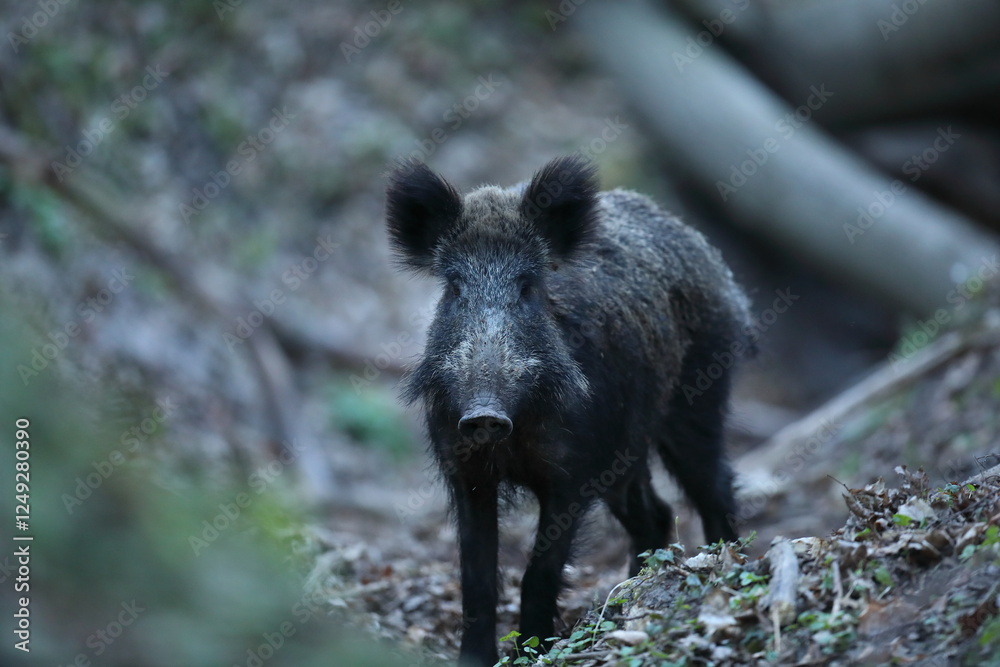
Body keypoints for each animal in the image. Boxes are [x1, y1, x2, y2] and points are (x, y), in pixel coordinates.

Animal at [385, 155, 751, 666]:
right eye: (455, 288)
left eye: (527, 287)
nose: (484, 414)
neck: (514, 436)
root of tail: (718, 268)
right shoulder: (465, 468)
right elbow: (475, 576)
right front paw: (475, 660)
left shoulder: (571, 475)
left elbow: (539, 572)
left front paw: (535, 652)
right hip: (625, 452)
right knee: (655, 513)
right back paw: (629, 597)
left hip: (698, 400)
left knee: (715, 485)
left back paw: (724, 570)